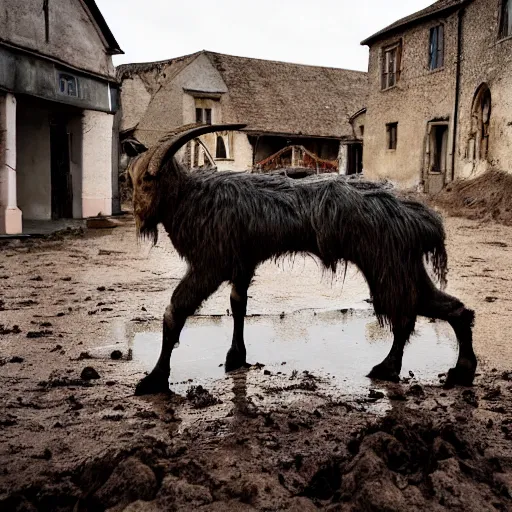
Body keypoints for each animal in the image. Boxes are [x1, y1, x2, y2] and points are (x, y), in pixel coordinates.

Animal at [127, 124, 476, 396]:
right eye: (132, 179)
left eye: (148, 181)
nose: (137, 214)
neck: (191, 198)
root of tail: (421, 220)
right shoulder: (242, 260)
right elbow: (238, 304)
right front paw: (236, 357)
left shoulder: (211, 262)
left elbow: (175, 311)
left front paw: (154, 379)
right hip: (403, 264)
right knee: (448, 307)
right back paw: (462, 370)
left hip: (386, 265)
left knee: (405, 315)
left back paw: (387, 368)